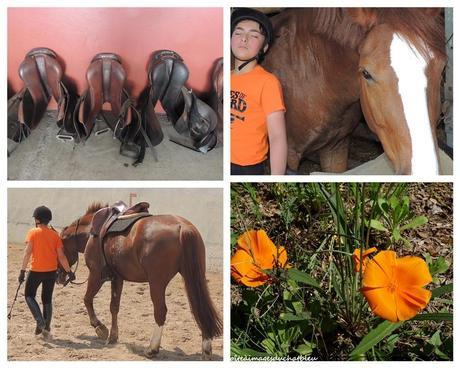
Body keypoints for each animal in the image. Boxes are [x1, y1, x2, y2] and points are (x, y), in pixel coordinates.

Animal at [57, 203, 223, 358]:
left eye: (58, 249)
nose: (59, 277)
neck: (93, 232)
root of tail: (183, 227)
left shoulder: (96, 274)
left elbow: (87, 299)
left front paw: (100, 328)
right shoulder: (117, 278)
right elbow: (114, 307)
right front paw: (113, 337)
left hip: (157, 283)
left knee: (161, 311)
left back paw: (152, 349)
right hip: (194, 277)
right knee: (199, 308)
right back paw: (206, 349)